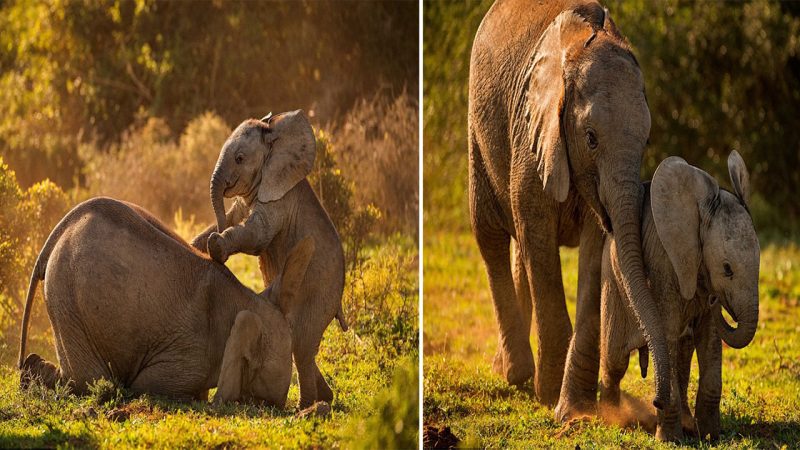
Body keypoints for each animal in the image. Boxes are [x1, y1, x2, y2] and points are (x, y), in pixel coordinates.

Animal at [18, 199, 312, 406]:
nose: (277, 405)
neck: (244, 298)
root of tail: (58, 232)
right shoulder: (190, 350)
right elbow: (145, 386)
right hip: (66, 293)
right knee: (89, 380)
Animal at [468, 0, 668, 418]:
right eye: (590, 139)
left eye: (646, 141)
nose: (656, 399)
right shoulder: (533, 130)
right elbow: (537, 238)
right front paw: (547, 396)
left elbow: (593, 254)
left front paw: (574, 408)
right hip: (478, 127)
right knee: (490, 235)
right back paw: (515, 373)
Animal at [600, 153, 764, 442]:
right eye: (727, 269)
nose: (655, 401)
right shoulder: (664, 264)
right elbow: (666, 334)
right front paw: (669, 440)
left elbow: (710, 339)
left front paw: (710, 436)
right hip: (613, 284)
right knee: (615, 358)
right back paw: (612, 418)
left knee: (683, 352)